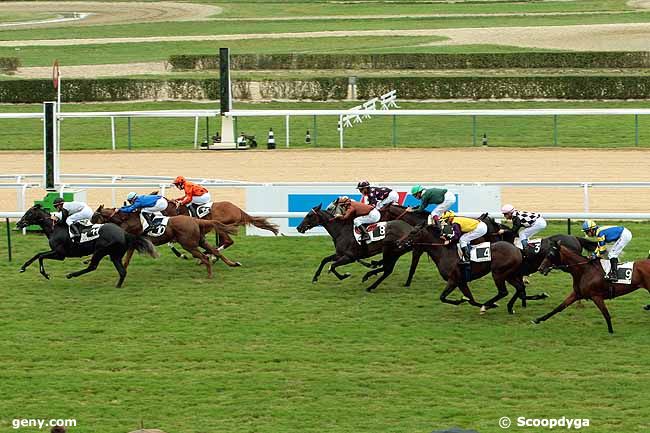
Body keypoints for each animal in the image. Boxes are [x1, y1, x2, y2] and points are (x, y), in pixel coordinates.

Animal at [15, 204, 158, 288]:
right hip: (114, 255)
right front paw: (23, 268)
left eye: (29, 213)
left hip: (100, 250)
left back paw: (71, 274)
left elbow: (40, 256)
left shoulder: (60, 254)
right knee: (122, 271)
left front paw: (45, 274)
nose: (18, 223)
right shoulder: (55, 252)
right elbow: (38, 255)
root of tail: (124, 233)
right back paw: (117, 285)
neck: (54, 228)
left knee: (92, 266)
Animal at [93, 205, 240, 278]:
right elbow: (126, 261)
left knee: (204, 257)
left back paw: (209, 274)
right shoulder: (133, 244)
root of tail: (195, 220)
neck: (126, 220)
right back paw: (233, 264)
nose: (91, 228)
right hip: (200, 241)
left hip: (189, 244)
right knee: (215, 251)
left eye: (94, 217)